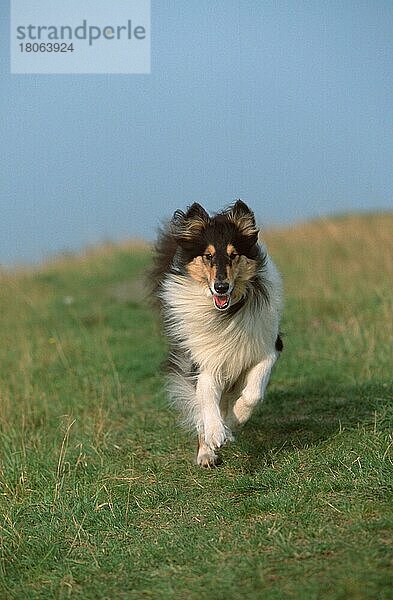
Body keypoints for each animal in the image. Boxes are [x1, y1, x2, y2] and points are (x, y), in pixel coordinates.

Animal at [150, 199, 282, 466]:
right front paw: (214, 436)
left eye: (234, 254)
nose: (221, 287)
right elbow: (207, 400)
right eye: (208, 255)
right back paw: (206, 453)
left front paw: (231, 423)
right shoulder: (204, 363)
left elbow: (252, 394)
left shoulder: (268, 349)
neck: (226, 313)